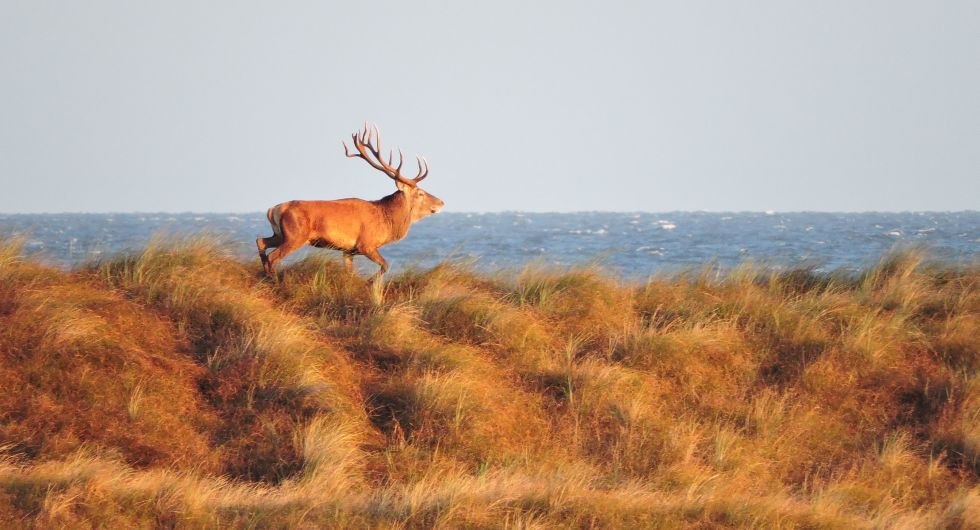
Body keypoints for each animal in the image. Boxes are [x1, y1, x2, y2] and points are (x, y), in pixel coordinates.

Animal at [258, 122, 446, 296]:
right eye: (420, 193)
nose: (442, 203)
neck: (386, 222)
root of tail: (273, 210)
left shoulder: (348, 251)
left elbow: (350, 274)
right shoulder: (366, 244)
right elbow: (385, 265)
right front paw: (369, 283)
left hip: (281, 234)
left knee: (261, 241)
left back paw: (266, 278)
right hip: (295, 235)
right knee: (273, 256)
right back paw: (275, 284)